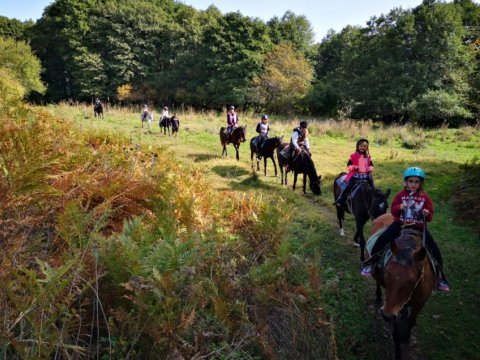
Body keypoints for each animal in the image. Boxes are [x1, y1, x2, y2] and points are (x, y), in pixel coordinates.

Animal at [372, 229, 436, 358]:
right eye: (386, 273)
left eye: (411, 281)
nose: (386, 315)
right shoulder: (396, 307)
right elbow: (396, 332)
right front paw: (398, 354)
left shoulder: (419, 304)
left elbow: (410, 322)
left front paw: (407, 337)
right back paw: (378, 296)